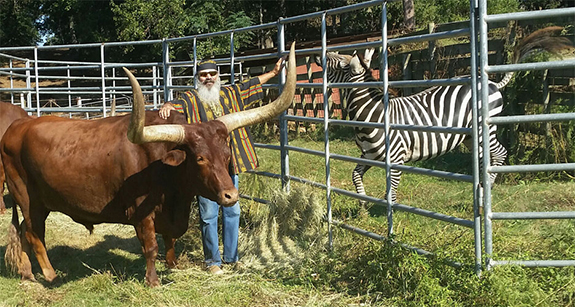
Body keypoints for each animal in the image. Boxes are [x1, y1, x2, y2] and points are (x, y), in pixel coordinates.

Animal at [1, 42, 296, 286]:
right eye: (200, 158)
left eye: (226, 154)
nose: (230, 195)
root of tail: (17, 127)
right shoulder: (141, 212)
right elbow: (151, 246)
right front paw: (152, 280)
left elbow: (171, 238)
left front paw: (173, 265)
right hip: (25, 196)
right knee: (34, 233)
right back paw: (49, 274)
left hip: (38, 202)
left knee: (24, 232)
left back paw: (27, 274)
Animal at [318, 26, 572, 205]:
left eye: (338, 63)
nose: (319, 55)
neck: (373, 114)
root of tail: (492, 82)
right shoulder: (368, 156)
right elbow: (355, 175)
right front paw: (362, 202)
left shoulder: (396, 158)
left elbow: (392, 191)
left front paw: (390, 216)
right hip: (470, 137)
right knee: (486, 157)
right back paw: (481, 188)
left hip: (486, 129)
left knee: (500, 153)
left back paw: (486, 193)